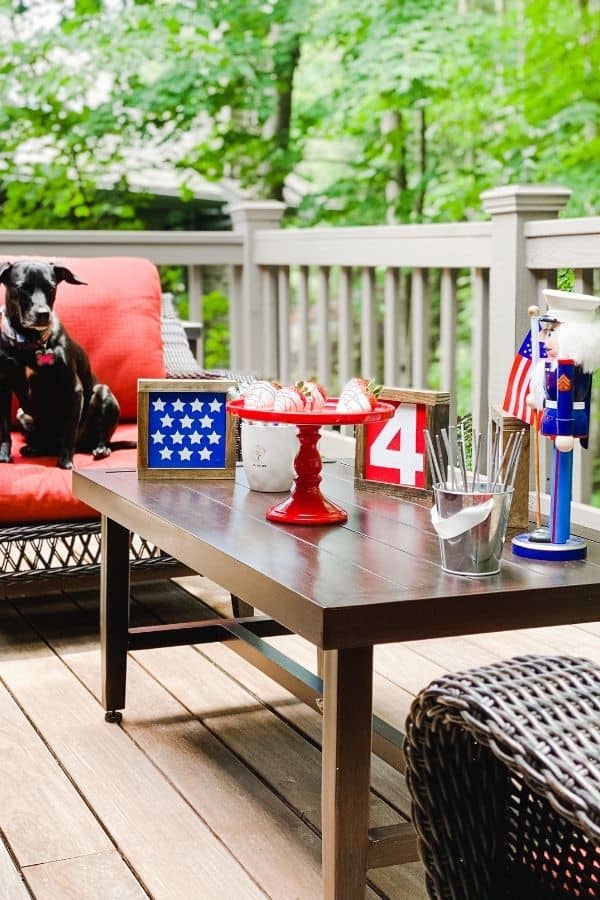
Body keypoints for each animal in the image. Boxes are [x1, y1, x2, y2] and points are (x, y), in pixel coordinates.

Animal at [0, 258, 122, 468]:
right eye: (22, 288)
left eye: (51, 287)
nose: (43, 314)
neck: (31, 343)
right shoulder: (4, 387)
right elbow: (4, 429)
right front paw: (4, 455)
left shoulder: (73, 389)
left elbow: (69, 430)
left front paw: (65, 462)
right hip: (22, 414)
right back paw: (35, 448)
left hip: (104, 394)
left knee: (99, 437)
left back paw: (101, 448)